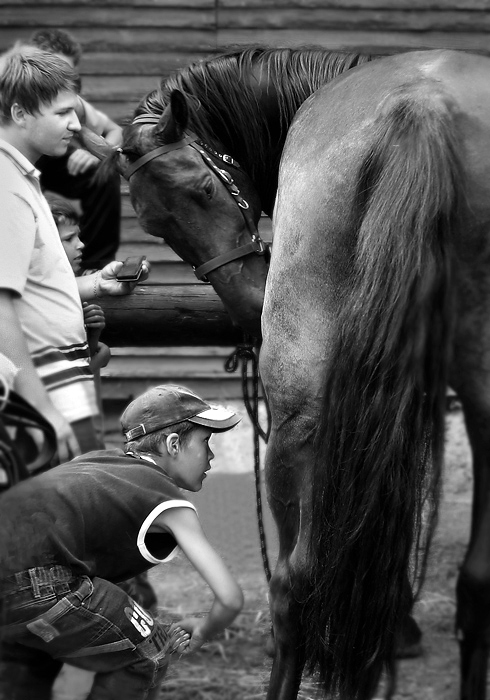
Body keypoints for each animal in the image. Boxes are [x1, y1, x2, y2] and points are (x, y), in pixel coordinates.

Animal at [86, 47, 490, 700]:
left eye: (205, 187)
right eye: (156, 223)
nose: (250, 299)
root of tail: (420, 103)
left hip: (303, 401)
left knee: (295, 582)